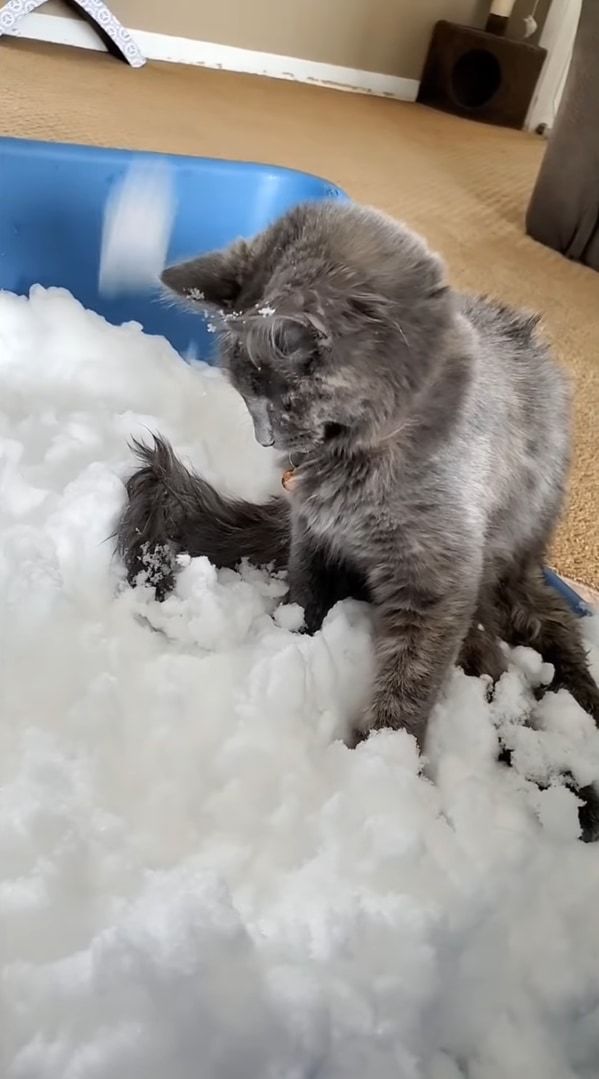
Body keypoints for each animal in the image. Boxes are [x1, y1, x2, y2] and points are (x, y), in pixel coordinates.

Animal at [117, 200, 599, 768]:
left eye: (283, 399)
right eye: (242, 393)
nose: (263, 439)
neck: (352, 459)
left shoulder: (436, 581)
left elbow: (410, 675)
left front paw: (384, 756)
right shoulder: (313, 536)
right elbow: (306, 598)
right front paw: (294, 640)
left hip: (506, 571)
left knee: (546, 626)